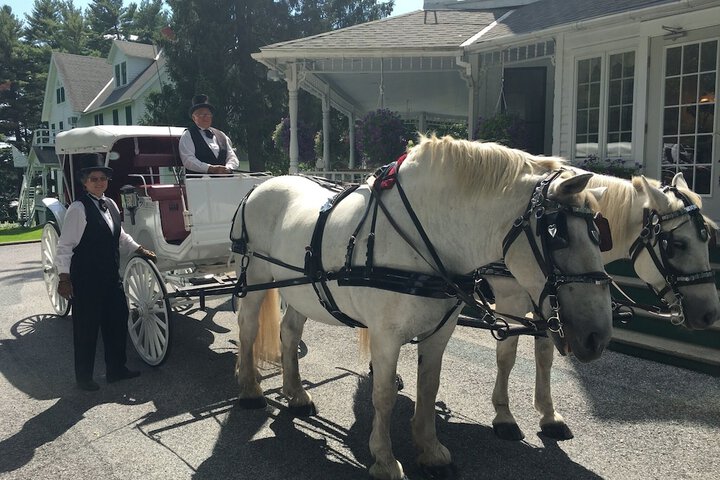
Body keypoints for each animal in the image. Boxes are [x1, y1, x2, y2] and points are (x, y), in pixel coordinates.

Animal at [232, 136, 612, 480]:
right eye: (557, 235)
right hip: (254, 281)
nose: (598, 337)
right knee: (248, 329)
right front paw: (384, 460)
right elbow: (383, 395)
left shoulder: (440, 331)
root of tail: (262, 185)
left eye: (599, 234)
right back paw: (250, 390)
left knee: (289, 333)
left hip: (301, 291)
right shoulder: (386, 336)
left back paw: (296, 394)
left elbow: (429, 389)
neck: (422, 239)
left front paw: (431, 451)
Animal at [490, 172, 720, 442]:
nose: (710, 314)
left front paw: (549, 415)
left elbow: (545, 356)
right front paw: (504, 415)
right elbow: (506, 357)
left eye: (707, 240)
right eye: (677, 244)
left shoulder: (548, 308)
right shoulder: (512, 300)